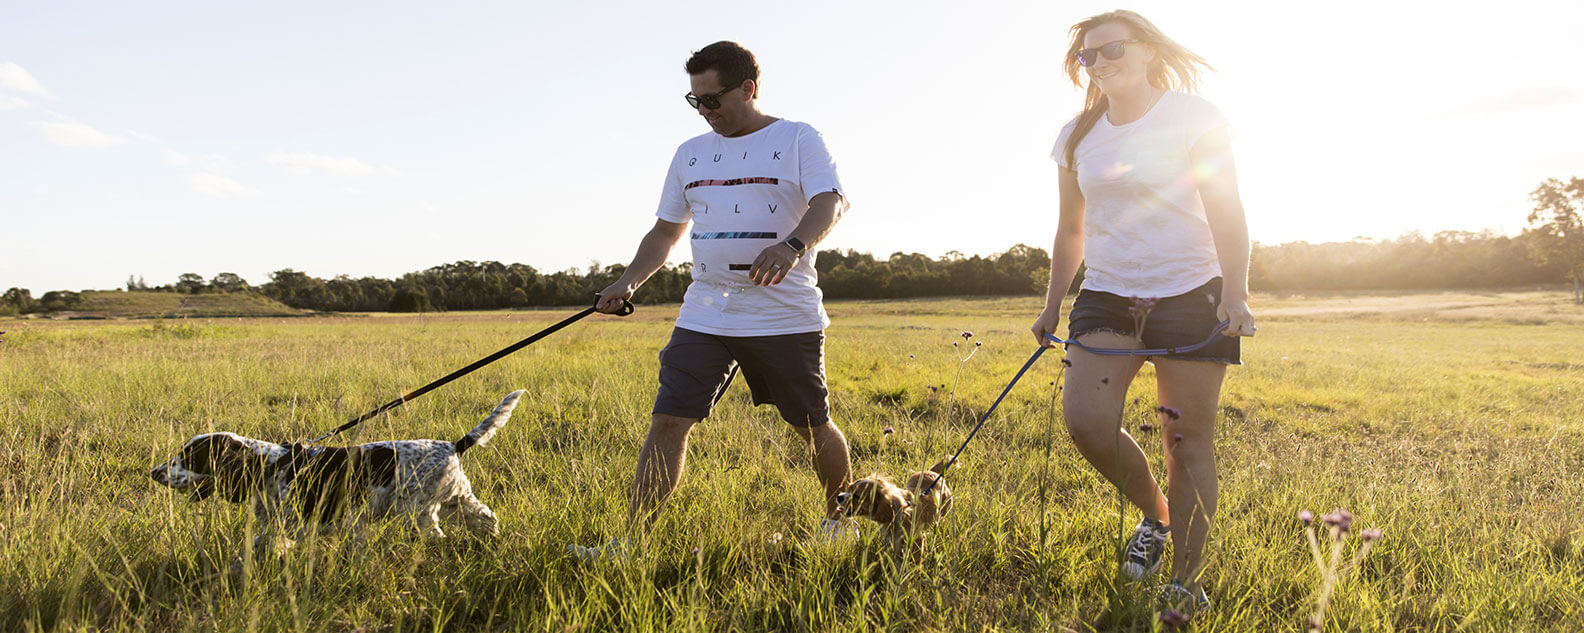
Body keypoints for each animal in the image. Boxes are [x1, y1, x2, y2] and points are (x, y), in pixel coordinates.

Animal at [148, 387, 522, 557]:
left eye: (188, 456)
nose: (154, 472)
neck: (272, 467)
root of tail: (454, 445)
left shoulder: (332, 522)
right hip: (457, 499)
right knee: (486, 516)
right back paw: (493, 539)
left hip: (416, 510)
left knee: (435, 534)